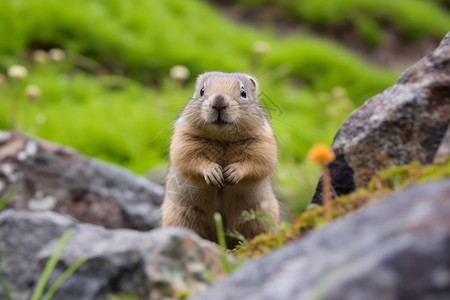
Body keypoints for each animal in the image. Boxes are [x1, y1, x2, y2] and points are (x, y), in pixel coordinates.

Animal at [162, 71, 280, 247]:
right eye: (202, 91)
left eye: (243, 92)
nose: (219, 101)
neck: (222, 139)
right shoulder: (183, 140)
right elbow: (189, 159)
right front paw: (214, 174)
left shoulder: (263, 143)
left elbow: (259, 162)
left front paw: (231, 173)